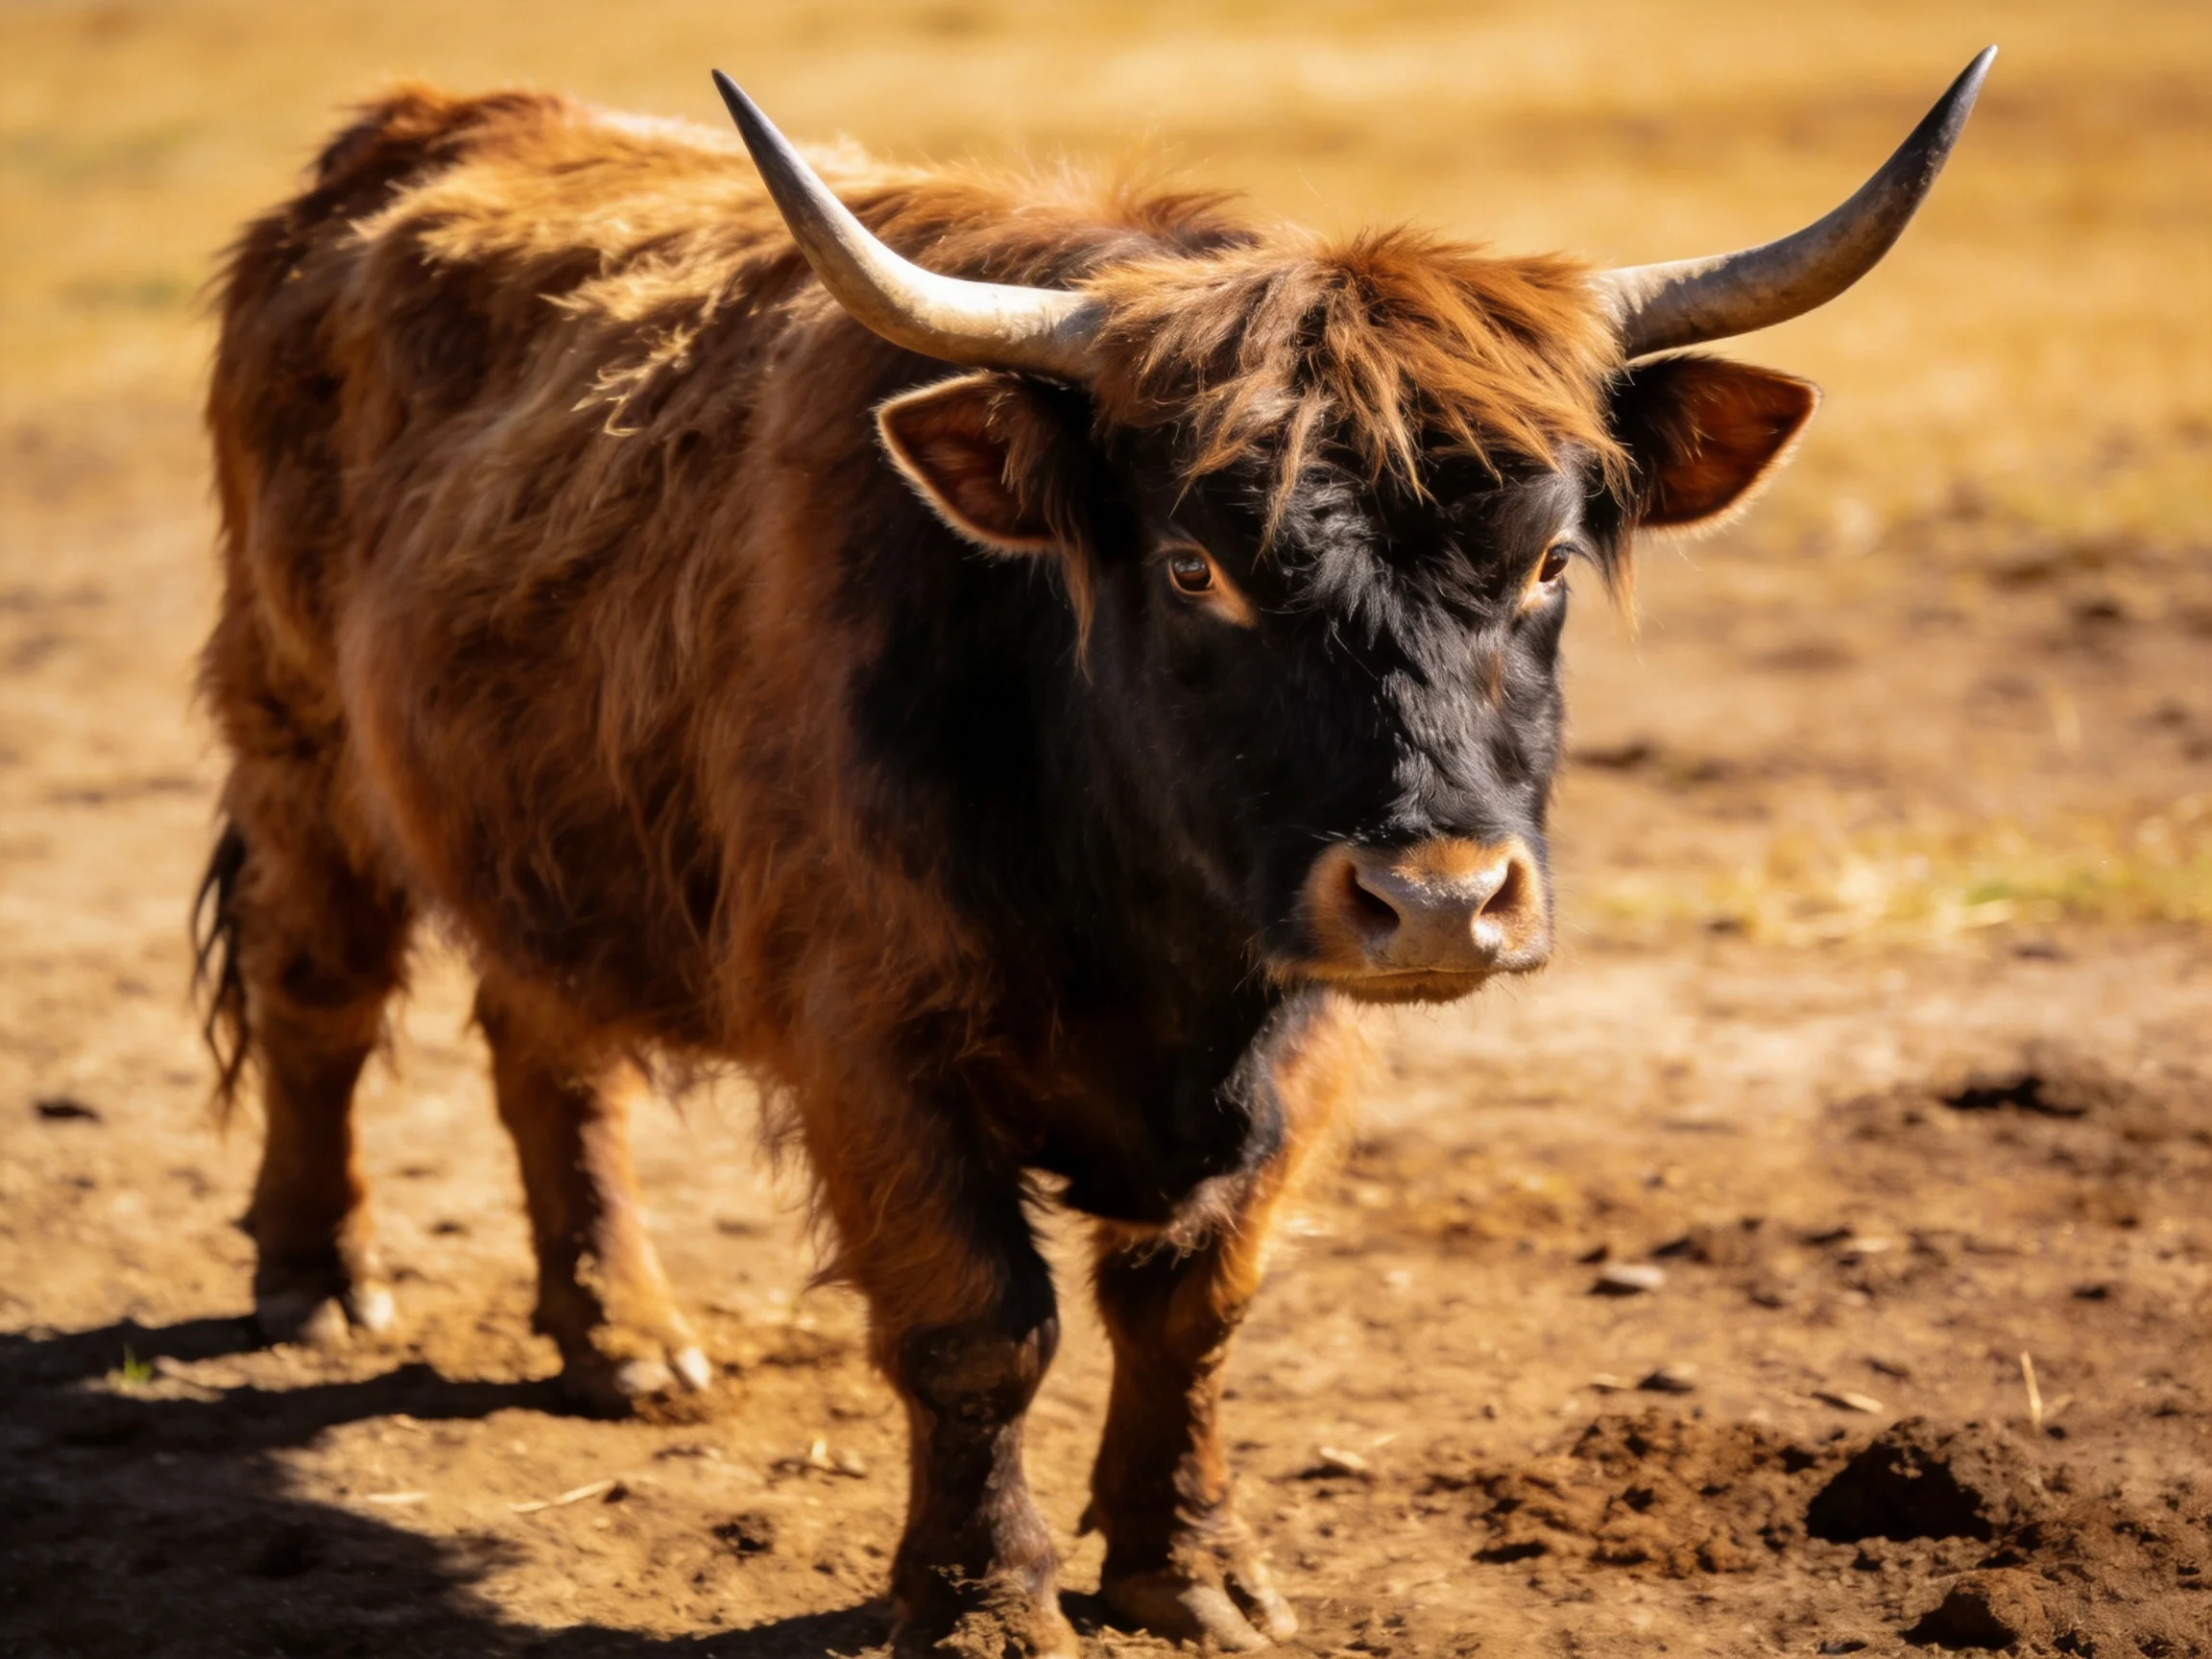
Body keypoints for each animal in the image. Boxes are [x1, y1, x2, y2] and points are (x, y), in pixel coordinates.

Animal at [192, 49, 1991, 1654]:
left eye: (1547, 560)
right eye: (1196, 568)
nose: (1435, 902)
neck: (1151, 940)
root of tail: (419, 126)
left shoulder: (1305, 1038)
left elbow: (1190, 1307)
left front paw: (1184, 1571)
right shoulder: (868, 1035)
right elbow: (979, 1322)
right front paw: (982, 1603)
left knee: (547, 1044)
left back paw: (622, 1338)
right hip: (303, 742)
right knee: (321, 989)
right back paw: (317, 1278)